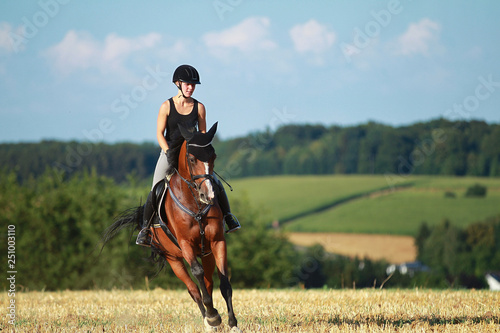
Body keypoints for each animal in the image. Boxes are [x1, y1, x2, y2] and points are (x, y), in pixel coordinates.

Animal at [100, 123, 239, 330]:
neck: (195, 203)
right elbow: (197, 275)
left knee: (208, 284)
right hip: (173, 259)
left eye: (213, 156)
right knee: (193, 289)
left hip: (206, 254)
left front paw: (233, 323)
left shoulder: (217, 241)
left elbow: (225, 283)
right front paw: (213, 317)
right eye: (192, 159)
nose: (208, 195)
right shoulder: (185, 244)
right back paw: (210, 320)